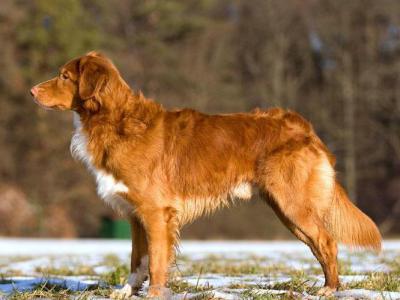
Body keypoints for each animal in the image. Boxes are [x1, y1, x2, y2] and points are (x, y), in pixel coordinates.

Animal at [30, 51, 382, 298]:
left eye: (64, 76)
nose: (32, 90)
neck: (113, 120)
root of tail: (303, 127)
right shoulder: (135, 215)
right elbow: (137, 260)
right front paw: (127, 291)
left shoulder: (156, 213)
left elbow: (156, 261)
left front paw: (155, 294)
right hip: (287, 212)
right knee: (319, 245)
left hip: (294, 205)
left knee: (327, 242)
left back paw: (330, 290)